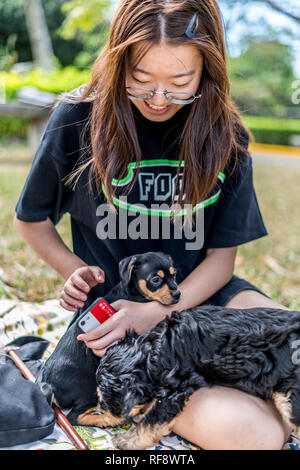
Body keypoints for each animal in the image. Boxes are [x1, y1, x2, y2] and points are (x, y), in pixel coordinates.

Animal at [39, 253, 180, 426]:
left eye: (174, 274)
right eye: (155, 279)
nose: (177, 294)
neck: (134, 293)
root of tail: (47, 384)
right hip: (90, 388)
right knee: (75, 417)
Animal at [84, 302, 300, 450]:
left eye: (105, 402)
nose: (98, 411)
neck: (152, 353)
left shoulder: (173, 393)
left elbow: (150, 420)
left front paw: (127, 440)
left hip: (289, 395)